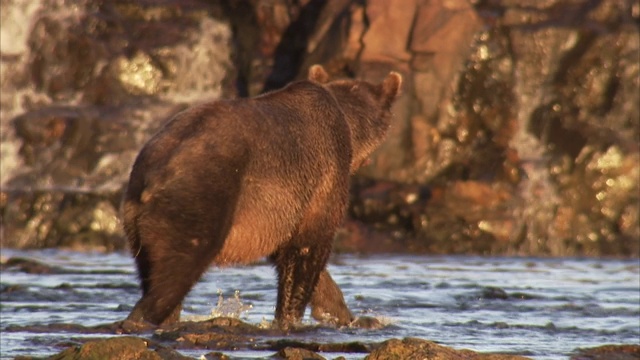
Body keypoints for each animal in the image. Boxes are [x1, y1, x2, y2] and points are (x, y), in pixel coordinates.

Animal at [123, 64, 402, 330]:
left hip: (136, 217)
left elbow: (292, 252)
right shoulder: (324, 178)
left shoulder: (281, 212)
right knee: (177, 270)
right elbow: (309, 248)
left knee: (152, 271)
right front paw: (291, 318)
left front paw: (349, 314)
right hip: (201, 196)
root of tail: (154, 173)